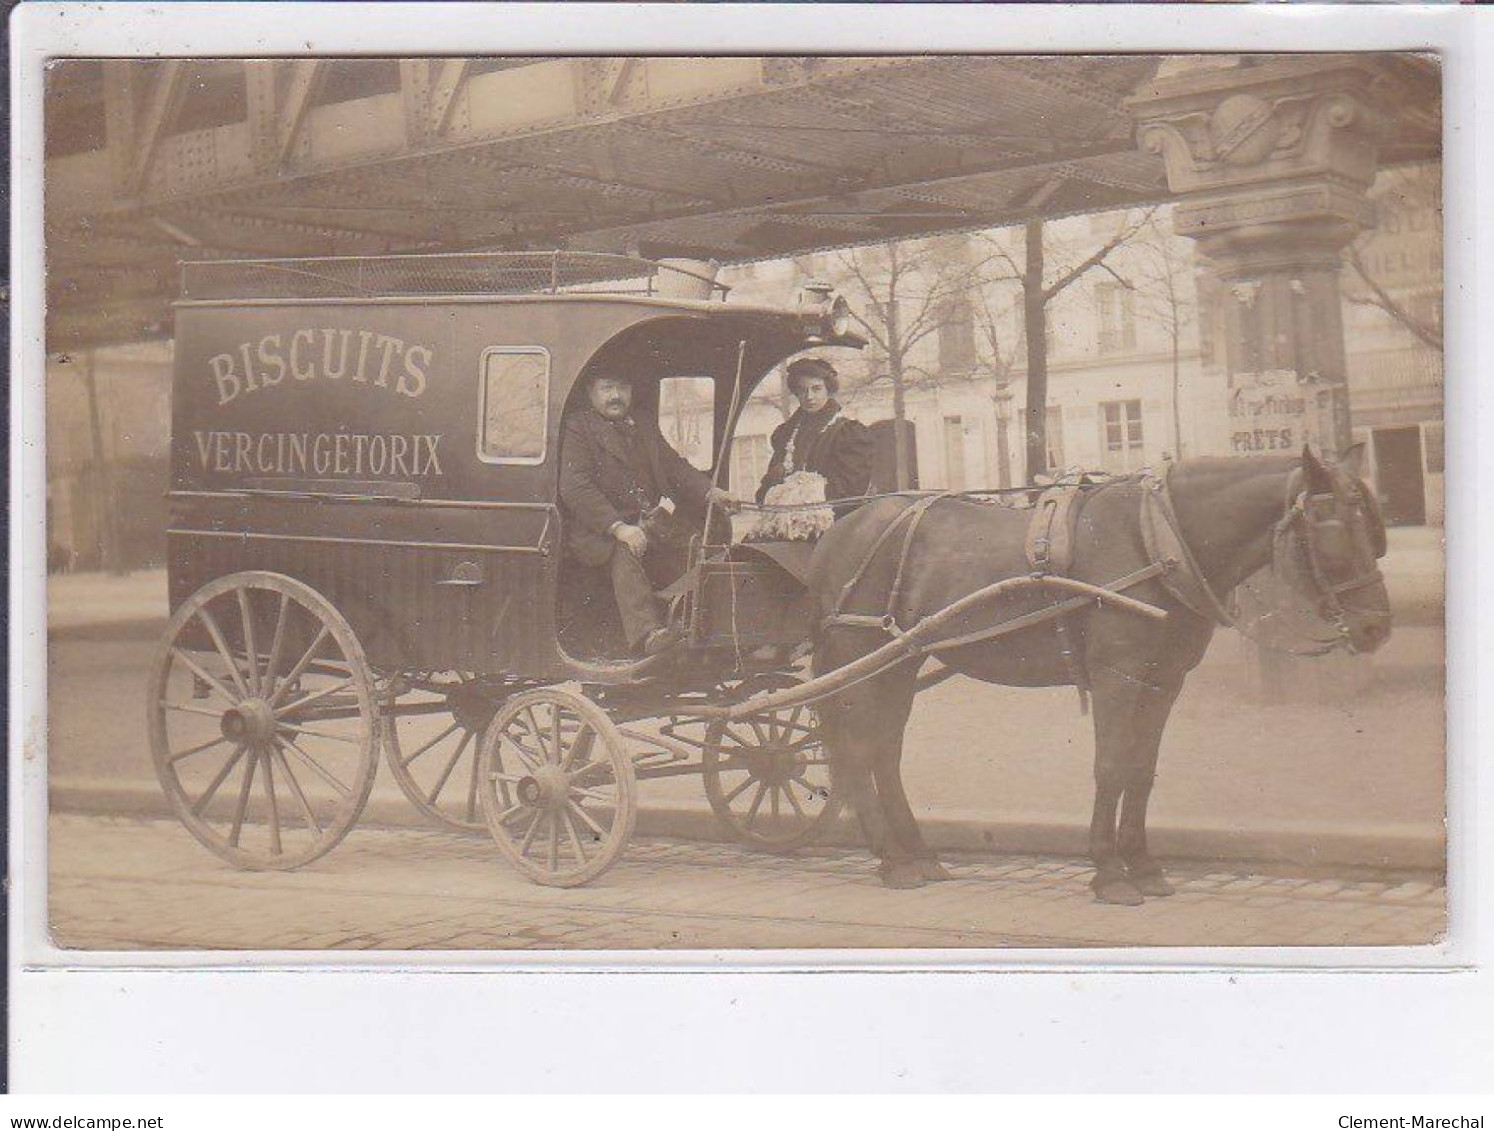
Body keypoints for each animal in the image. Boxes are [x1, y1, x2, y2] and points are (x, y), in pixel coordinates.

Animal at [806, 445, 1386, 902]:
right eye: (1335, 529)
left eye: (1373, 529)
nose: (1376, 626)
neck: (1156, 539)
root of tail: (842, 529)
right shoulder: (1118, 677)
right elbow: (1111, 766)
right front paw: (1108, 871)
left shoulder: (1163, 681)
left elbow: (1141, 771)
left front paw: (1144, 865)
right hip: (861, 655)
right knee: (859, 750)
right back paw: (892, 859)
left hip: (900, 662)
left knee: (884, 754)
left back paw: (918, 854)